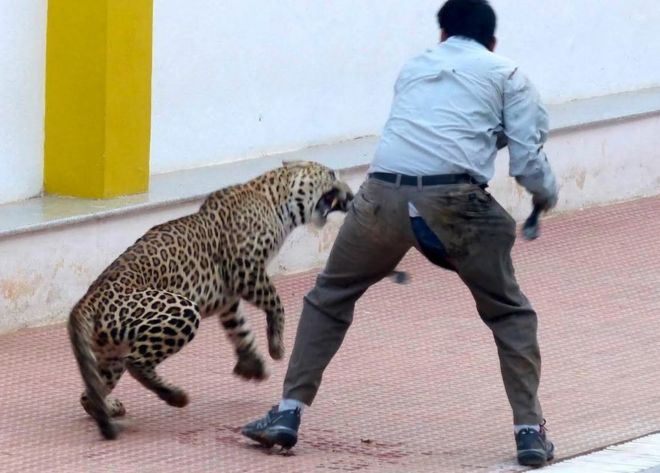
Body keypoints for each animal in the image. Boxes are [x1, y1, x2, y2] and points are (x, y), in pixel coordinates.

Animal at [67, 161, 353, 440]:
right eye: (331, 174)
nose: (351, 196)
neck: (275, 200)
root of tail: (86, 302)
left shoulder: (228, 298)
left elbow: (240, 328)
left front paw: (253, 364)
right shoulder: (246, 271)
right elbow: (276, 302)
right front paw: (276, 347)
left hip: (111, 351)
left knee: (90, 393)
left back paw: (109, 407)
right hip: (181, 310)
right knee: (136, 363)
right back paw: (176, 396)